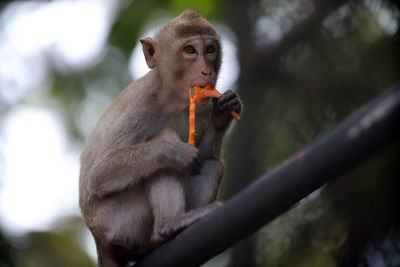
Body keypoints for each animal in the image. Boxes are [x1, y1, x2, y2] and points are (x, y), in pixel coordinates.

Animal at [78, 8, 241, 267]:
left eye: (210, 49)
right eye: (190, 50)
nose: (207, 70)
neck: (173, 98)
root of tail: (99, 240)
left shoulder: (202, 106)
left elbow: (204, 155)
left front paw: (224, 112)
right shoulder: (142, 104)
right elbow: (99, 173)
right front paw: (172, 151)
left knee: (212, 164)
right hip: (120, 219)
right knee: (163, 151)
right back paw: (169, 224)